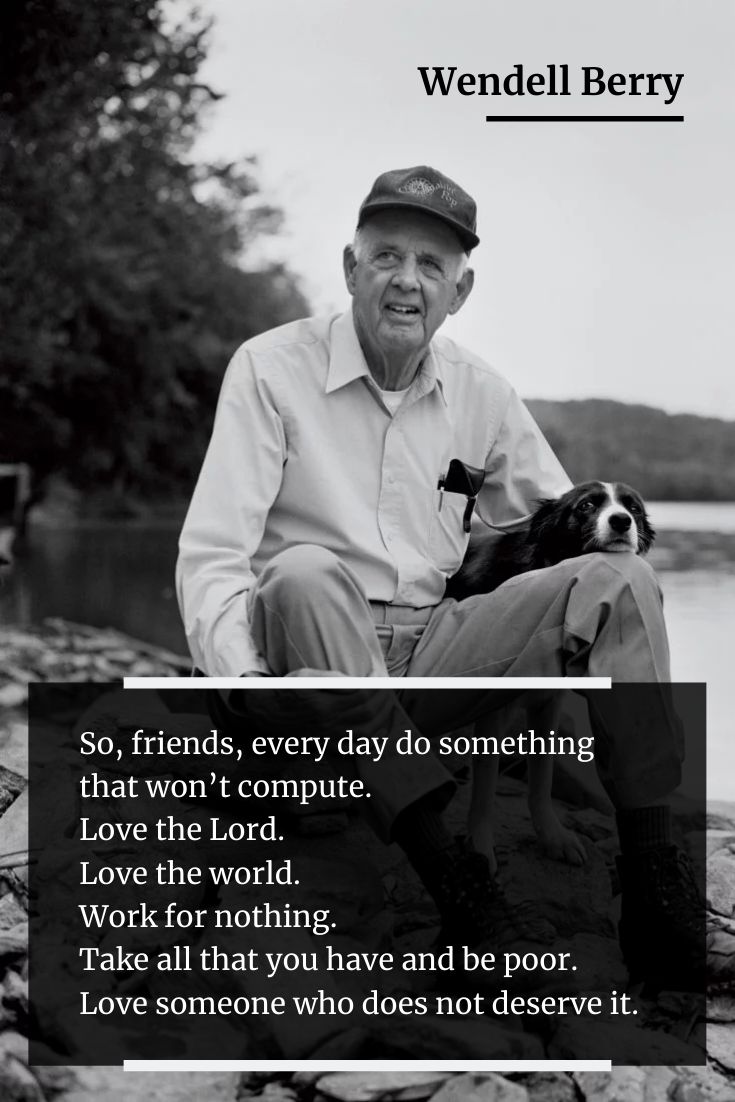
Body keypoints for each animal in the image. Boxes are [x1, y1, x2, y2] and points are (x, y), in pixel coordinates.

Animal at [445, 478, 656, 872]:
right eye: (587, 505)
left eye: (633, 507)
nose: (621, 521)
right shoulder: (492, 707)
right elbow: (485, 789)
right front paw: (480, 848)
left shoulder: (547, 704)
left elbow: (541, 779)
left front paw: (553, 837)